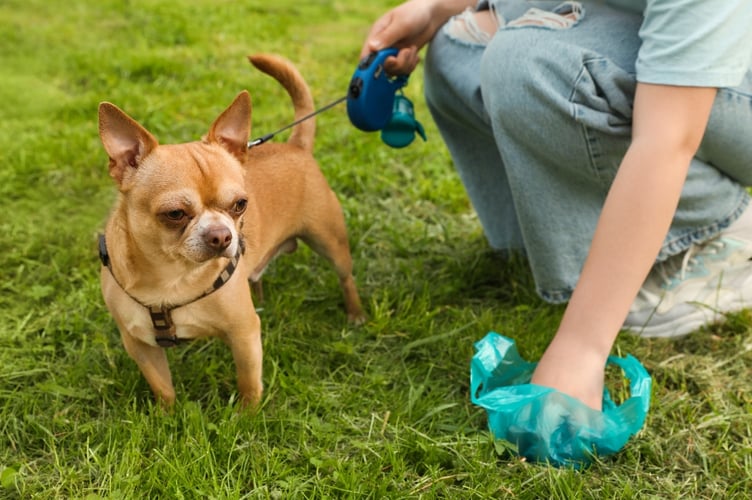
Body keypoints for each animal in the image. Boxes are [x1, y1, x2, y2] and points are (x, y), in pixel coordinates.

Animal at [99, 53, 364, 406]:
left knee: (345, 277)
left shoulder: (245, 334)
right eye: (174, 214)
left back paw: (355, 313)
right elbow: (163, 387)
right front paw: (168, 414)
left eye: (240, 204)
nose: (222, 235)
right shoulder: (140, 345)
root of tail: (296, 146)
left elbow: (249, 381)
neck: (172, 278)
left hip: (329, 242)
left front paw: (248, 415)